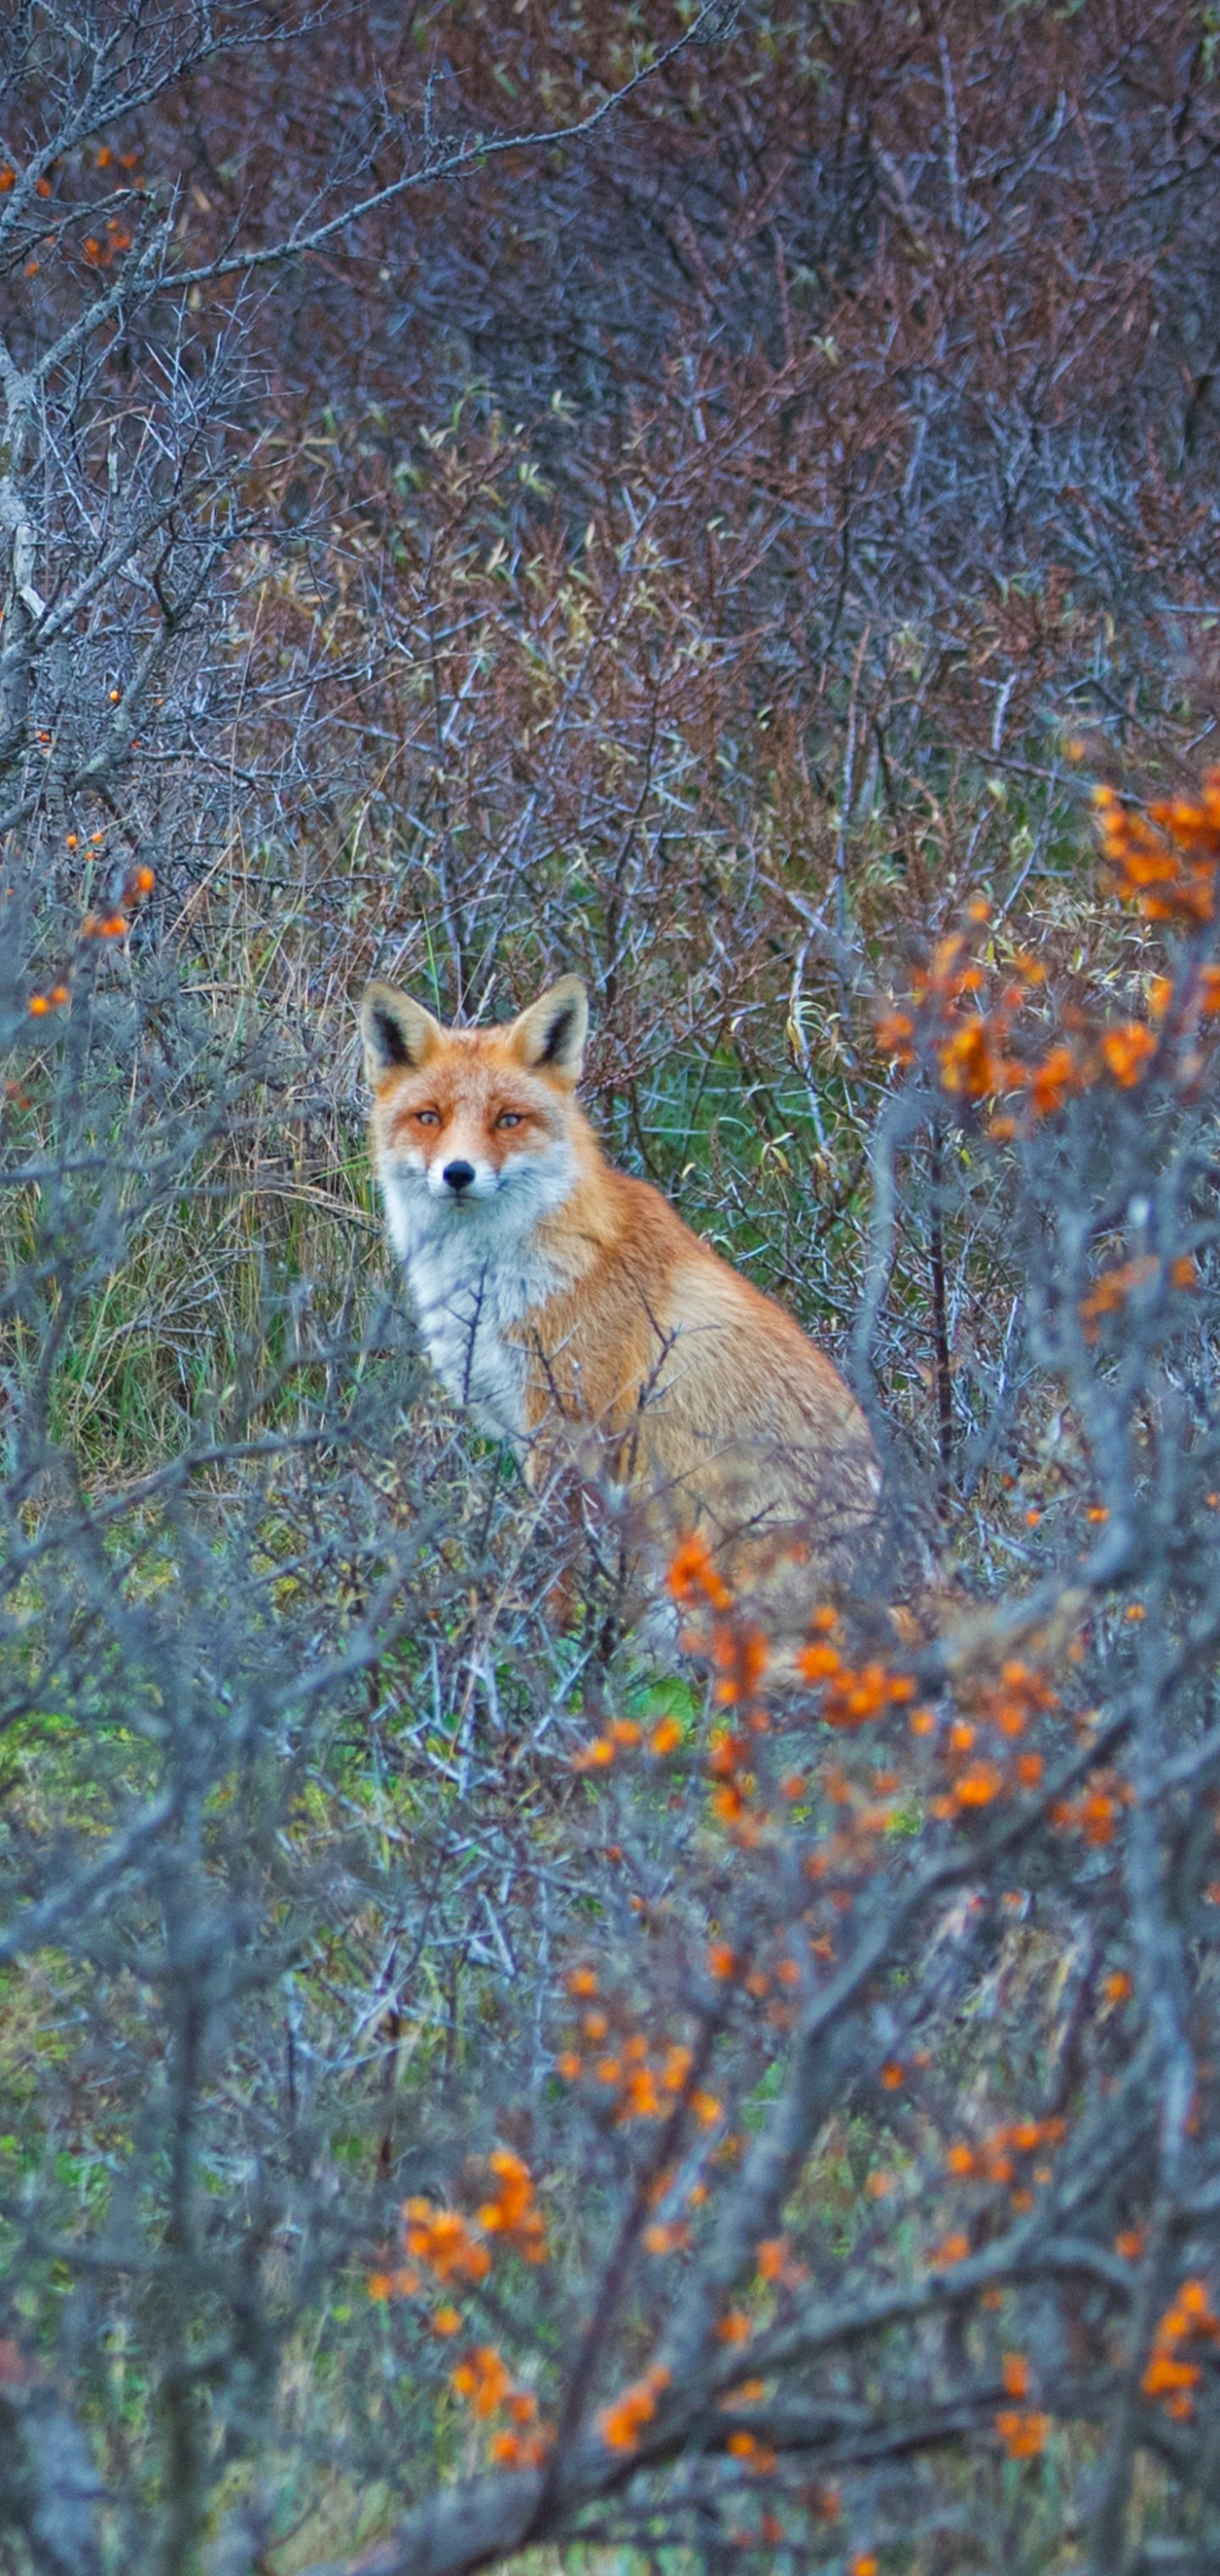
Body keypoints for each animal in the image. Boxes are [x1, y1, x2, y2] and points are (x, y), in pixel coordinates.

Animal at [359, 972, 882, 1646]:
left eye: (508, 1120)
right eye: (430, 1117)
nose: (457, 1173)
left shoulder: (569, 1425)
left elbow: (557, 1563)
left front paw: (545, 1644)